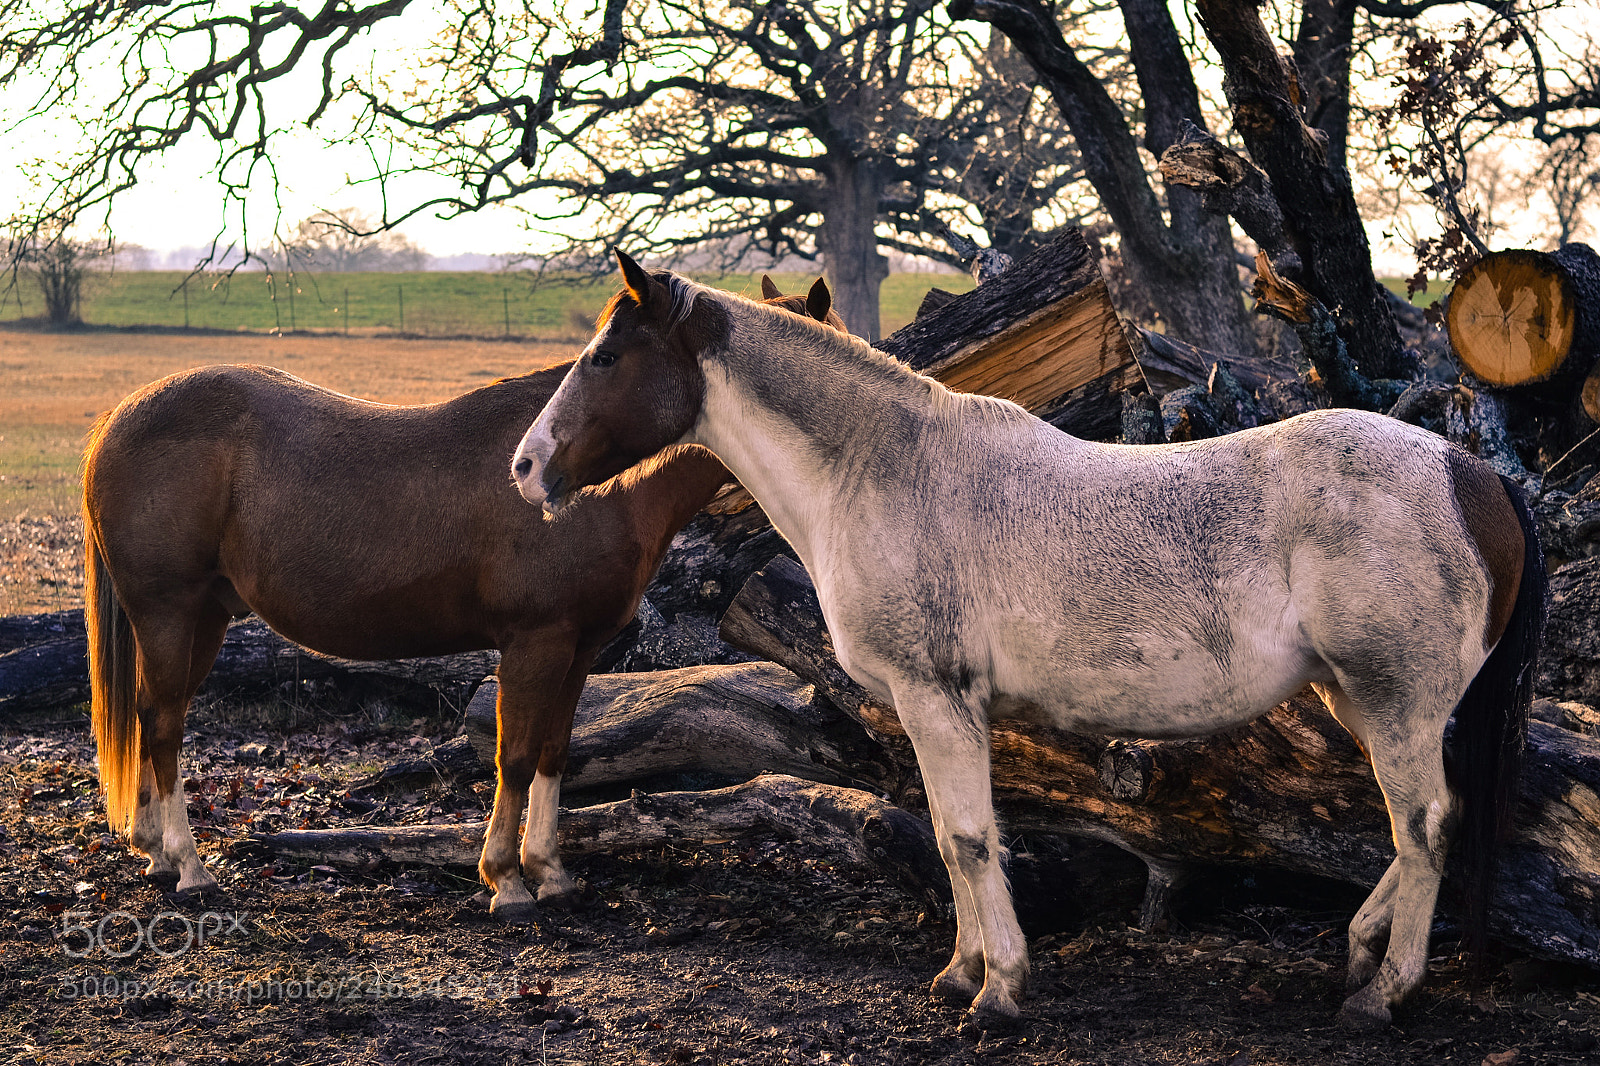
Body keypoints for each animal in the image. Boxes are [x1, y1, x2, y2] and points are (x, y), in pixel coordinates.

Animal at [82, 278, 845, 919]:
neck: (593, 485)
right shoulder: (535, 642)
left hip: (204, 616)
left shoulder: (579, 649)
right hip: (169, 611)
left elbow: (555, 751)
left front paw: (551, 873)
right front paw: (506, 882)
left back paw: (154, 854)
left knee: (151, 714)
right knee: (164, 724)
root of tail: (121, 414)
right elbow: (515, 755)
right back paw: (189, 868)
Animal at [511, 250, 1545, 1029]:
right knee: (1426, 828)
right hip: (1355, 698)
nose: (525, 468)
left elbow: (970, 841)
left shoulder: (936, 698)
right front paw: (962, 974)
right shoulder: (939, 710)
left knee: (1426, 825)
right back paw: (1363, 952)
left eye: (606, 357)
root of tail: (1472, 475)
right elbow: (949, 837)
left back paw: (1385, 994)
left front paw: (1000, 991)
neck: (884, 470)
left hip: (1395, 701)